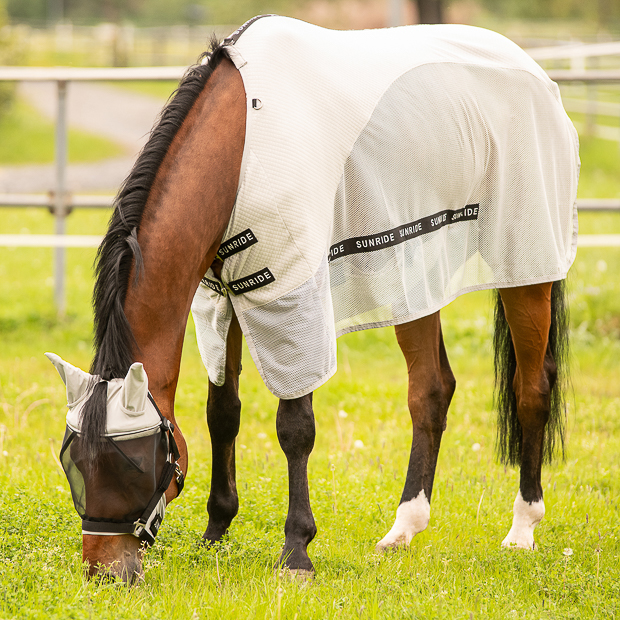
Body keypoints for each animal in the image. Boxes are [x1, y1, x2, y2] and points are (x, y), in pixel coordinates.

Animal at [47, 15, 576, 588]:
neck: (242, 145)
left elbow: (294, 428)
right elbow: (222, 412)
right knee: (431, 391)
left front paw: (296, 549)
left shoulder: (291, 297)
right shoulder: (224, 297)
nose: (103, 570)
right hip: (415, 273)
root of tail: (532, 70)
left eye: (131, 465)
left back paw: (521, 529)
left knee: (531, 389)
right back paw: (403, 528)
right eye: (73, 464)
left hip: (525, 269)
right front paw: (216, 530)